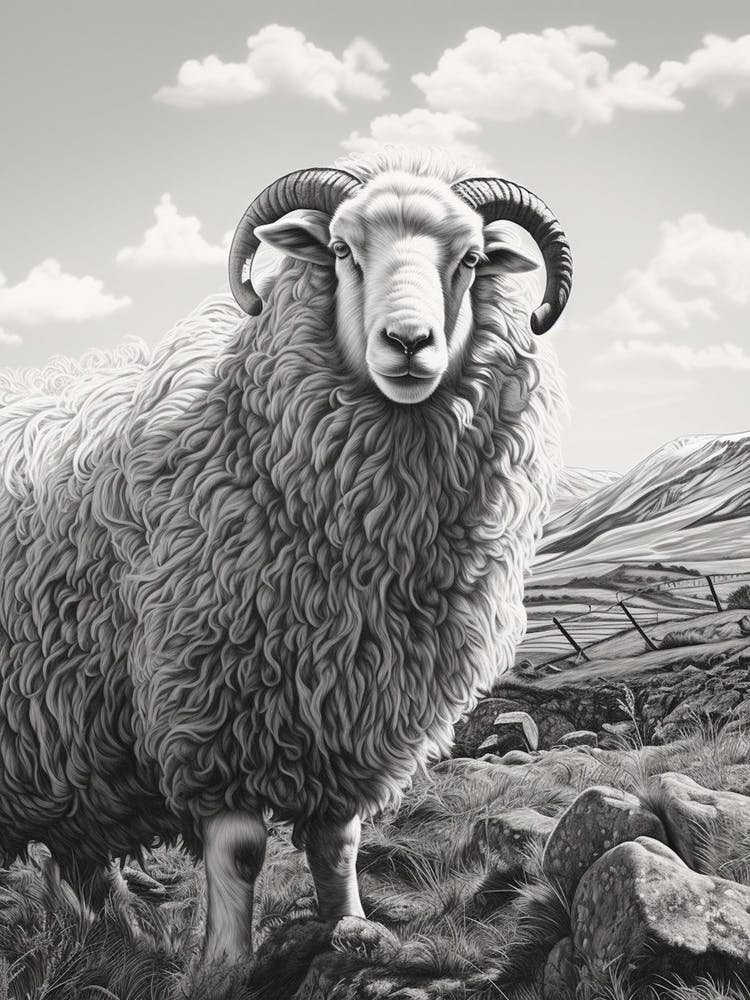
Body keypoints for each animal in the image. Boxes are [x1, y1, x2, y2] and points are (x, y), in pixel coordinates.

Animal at [0, 148, 571, 963]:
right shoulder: (213, 704)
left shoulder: (351, 716)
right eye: (340, 250)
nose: (408, 343)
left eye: (468, 260)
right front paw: (225, 964)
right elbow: (240, 852)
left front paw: (350, 928)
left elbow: (339, 843)